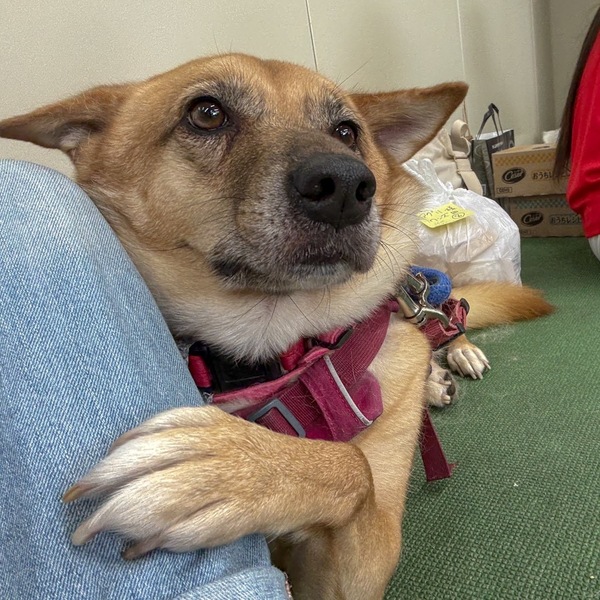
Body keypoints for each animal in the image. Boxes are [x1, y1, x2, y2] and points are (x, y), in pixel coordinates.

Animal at [0, 54, 552, 599]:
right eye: (207, 113)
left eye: (347, 131)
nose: (346, 186)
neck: (280, 350)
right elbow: (348, 465)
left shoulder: (371, 560)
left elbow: (353, 468)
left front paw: (226, 469)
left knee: (440, 309)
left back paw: (452, 357)